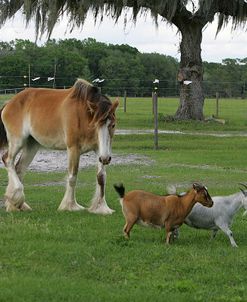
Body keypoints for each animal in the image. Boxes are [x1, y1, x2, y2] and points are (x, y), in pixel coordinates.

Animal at [0, 79, 119, 214]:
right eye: (95, 125)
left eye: (113, 125)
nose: (106, 159)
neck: (84, 114)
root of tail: (9, 103)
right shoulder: (73, 148)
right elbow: (73, 176)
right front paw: (70, 205)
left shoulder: (99, 149)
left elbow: (101, 177)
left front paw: (101, 207)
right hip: (17, 141)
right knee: (8, 160)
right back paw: (17, 198)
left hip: (32, 145)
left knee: (19, 169)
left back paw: (16, 205)